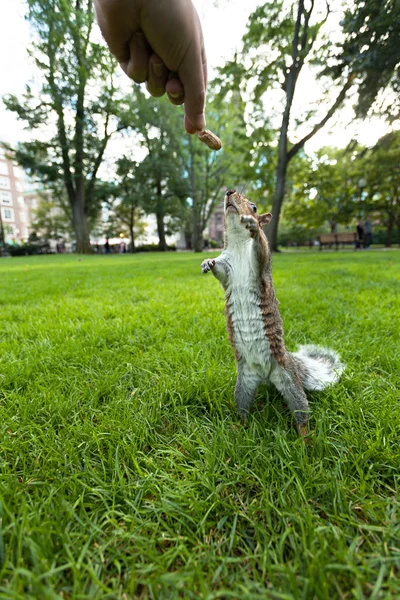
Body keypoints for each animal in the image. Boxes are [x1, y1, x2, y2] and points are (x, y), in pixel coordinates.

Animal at [200, 190, 344, 438]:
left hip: (289, 382)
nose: (229, 193)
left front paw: (254, 228)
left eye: (254, 207)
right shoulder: (226, 267)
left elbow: (262, 249)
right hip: (243, 385)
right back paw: (238, 427)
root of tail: (266, 374)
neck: (238, 243)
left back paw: (305, 438)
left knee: (301, 411)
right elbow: (219, 269)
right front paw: (207, 262)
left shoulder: (259, 264)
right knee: (243, 409)